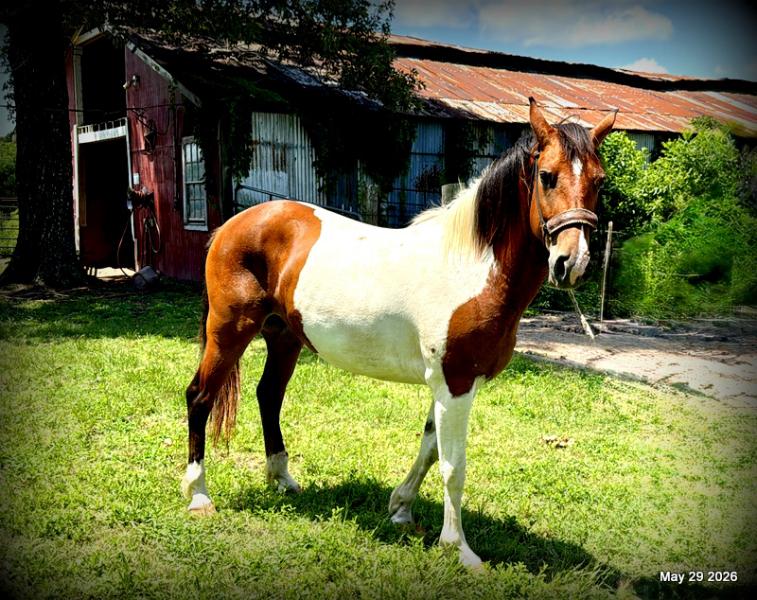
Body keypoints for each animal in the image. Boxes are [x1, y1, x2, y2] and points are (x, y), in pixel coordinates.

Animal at [181, 97, 616, 567]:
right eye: (546, 175)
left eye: (599, 180)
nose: (572, 263)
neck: (471, 267)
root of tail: (232, 225)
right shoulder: (456, 383)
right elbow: (452, 466)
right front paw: (459, 548)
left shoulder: (448, 384)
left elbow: (428, 449)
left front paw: (401, 509)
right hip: (229, 331)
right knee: (200, 397)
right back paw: (199, 496)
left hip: (284, 337)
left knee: (269, 396)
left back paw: (282, 479)